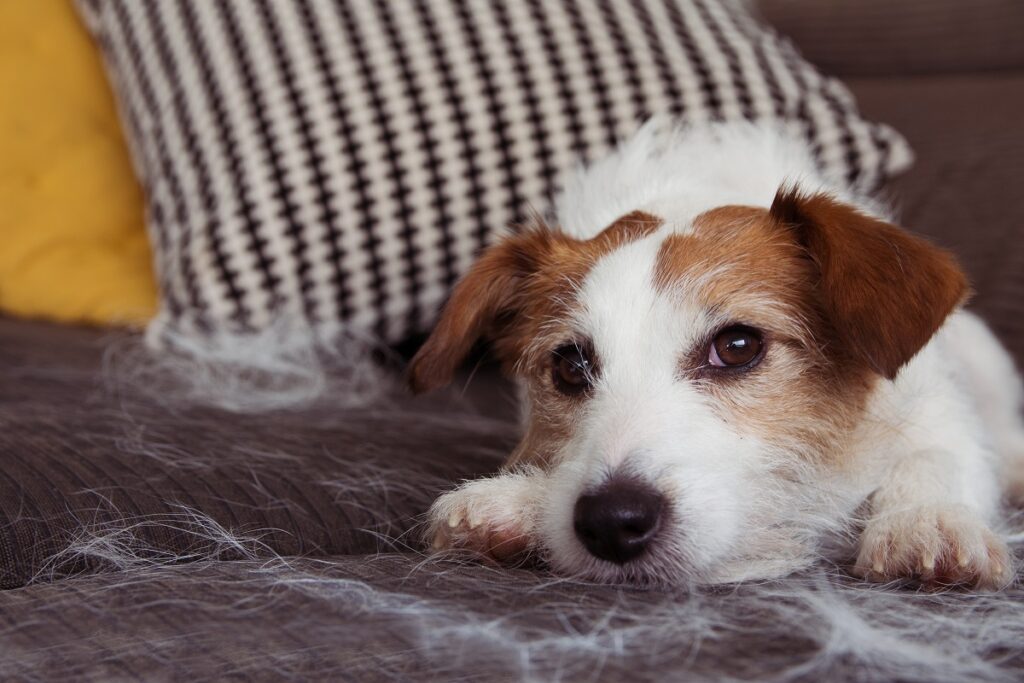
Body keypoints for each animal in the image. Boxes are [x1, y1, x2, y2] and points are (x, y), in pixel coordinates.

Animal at [405, 120, 1024, 589]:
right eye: (569, 365)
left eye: (737, 346)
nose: (611, 522)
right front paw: (517, 502)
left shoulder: (935, 406)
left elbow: (938, 455)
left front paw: (927, 521)